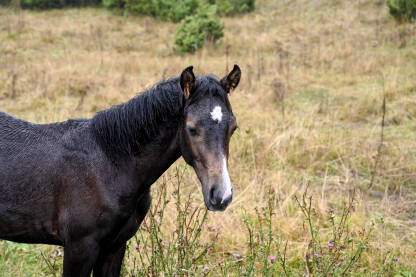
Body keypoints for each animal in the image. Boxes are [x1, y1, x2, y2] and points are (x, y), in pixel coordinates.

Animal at [0, 65, 240, 276]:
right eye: (191, 128)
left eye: (233, 128)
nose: (222, 195)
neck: (110, 166)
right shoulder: (79, 247)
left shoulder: (115, 247)